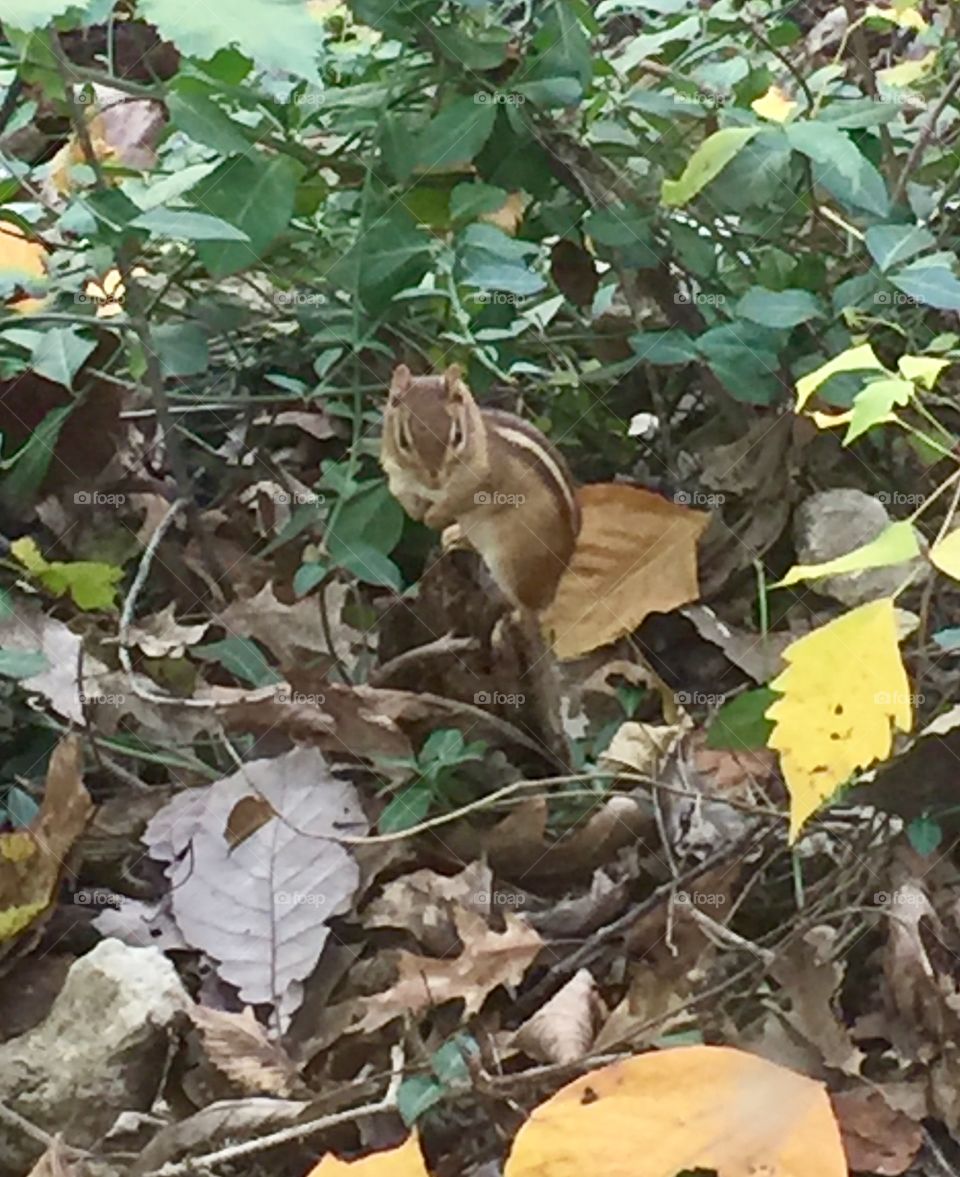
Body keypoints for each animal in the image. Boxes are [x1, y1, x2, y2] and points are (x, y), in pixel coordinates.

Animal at [380, 363, 581, 614]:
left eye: (457, 436)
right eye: (403, 440)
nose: (434, 480)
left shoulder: (482, 483)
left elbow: (458, 501)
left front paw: (432, 517)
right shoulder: (399, 480)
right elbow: (409, 503)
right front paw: (420, 512)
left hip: (511, 559)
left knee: (530, 608)